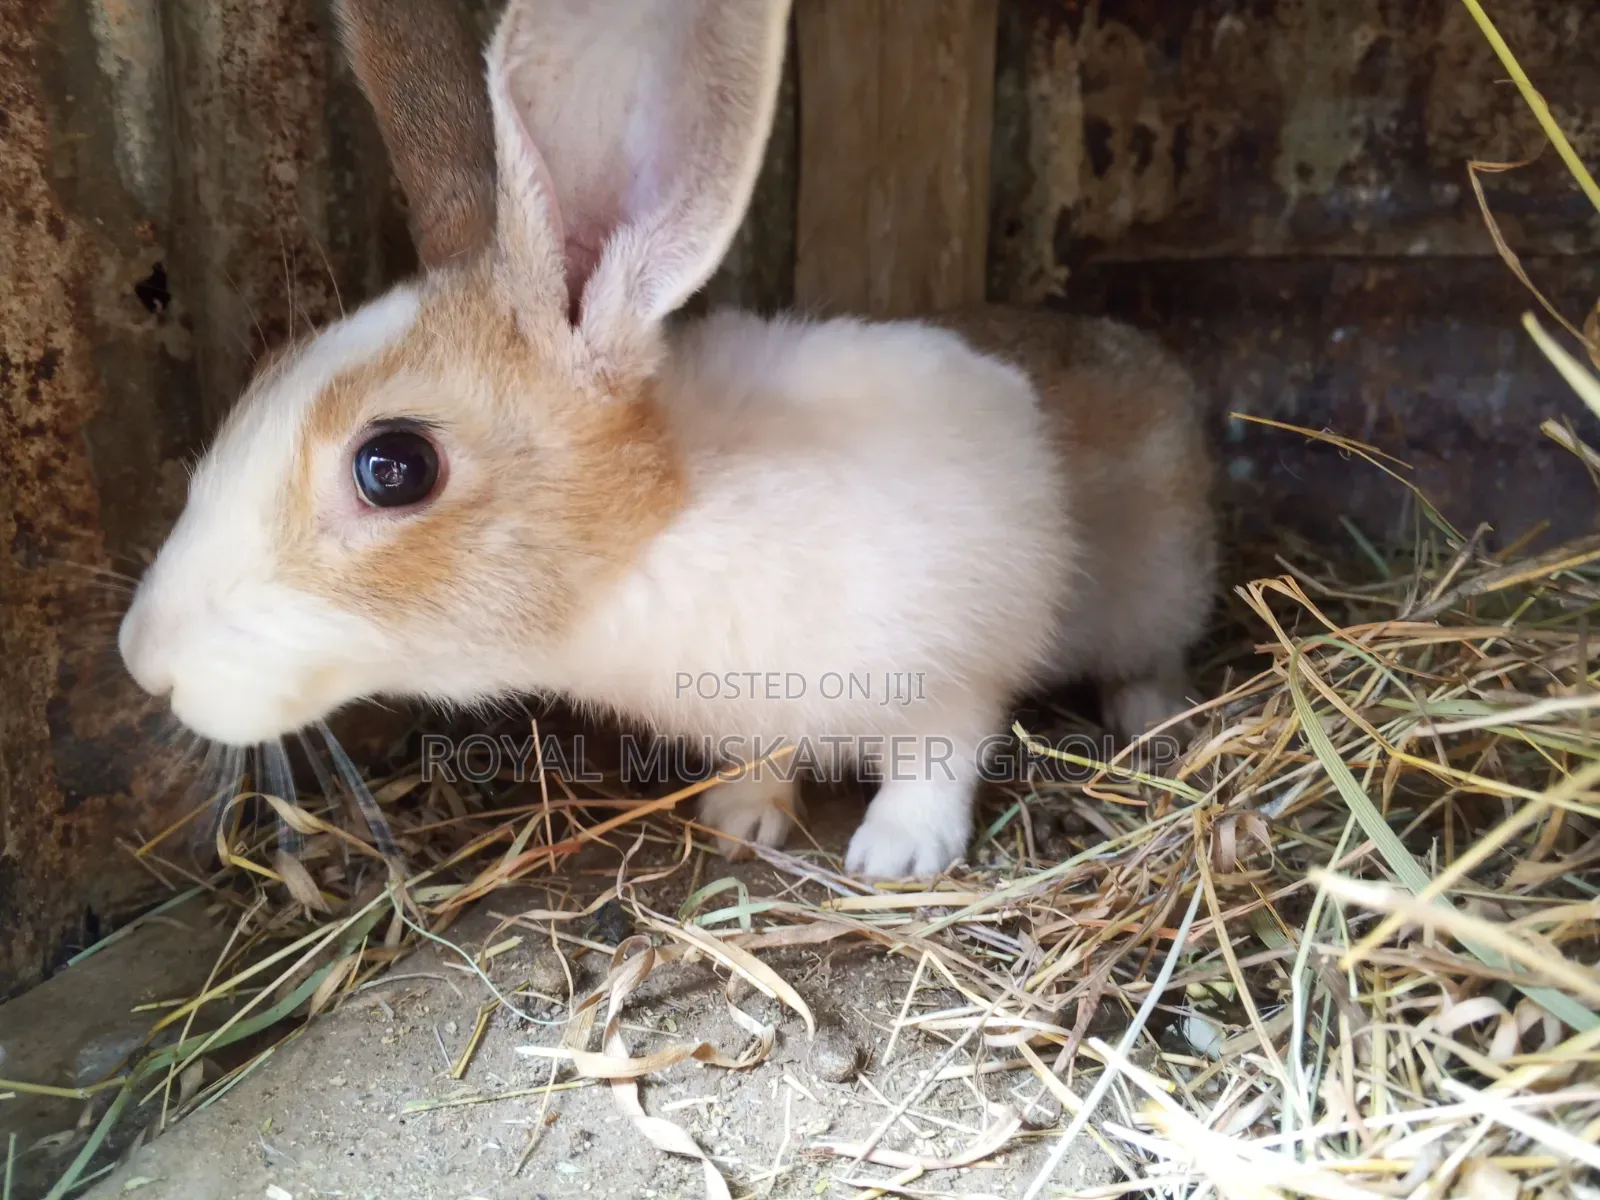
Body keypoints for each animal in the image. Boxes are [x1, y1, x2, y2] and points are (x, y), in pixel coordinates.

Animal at [117, 0, 1216, 880]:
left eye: (394, 468)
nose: (144, 661)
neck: (654, 536)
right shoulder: (767, 713)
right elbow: (769, 756)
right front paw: (740, 818)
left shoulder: (958, 661)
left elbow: (937, 755)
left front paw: (896, 854)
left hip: (1154, 586)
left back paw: (1151, 716)